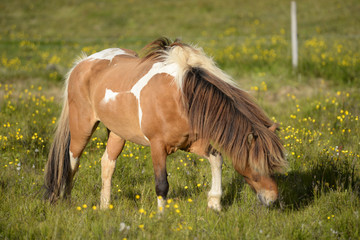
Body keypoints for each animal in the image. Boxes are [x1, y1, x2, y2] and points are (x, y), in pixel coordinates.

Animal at [44, 36, 286, 211]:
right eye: (257, 168)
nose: (272, 199)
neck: (182, 98)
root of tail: (83, 63)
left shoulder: (192, 144)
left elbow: (216, 158)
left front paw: (214, 203)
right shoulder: (157, 147)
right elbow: (162, 184)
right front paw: (162, 218)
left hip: (118, 133)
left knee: (107, 163)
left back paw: (105, 207)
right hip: (82, 128)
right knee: (72, 162)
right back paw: (65, 200)